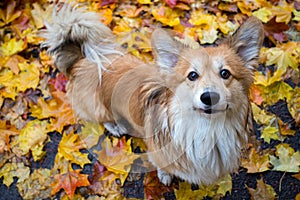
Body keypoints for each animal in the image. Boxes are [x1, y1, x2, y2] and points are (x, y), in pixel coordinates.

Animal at [41, 5, 262, 186]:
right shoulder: (159, 155)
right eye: (192, 75)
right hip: (97, 108)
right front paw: (165, 177)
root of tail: (82, 59)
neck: (207, 130)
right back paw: (115, 125)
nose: (209, 97)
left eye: (225, 73)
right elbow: (163, 167)